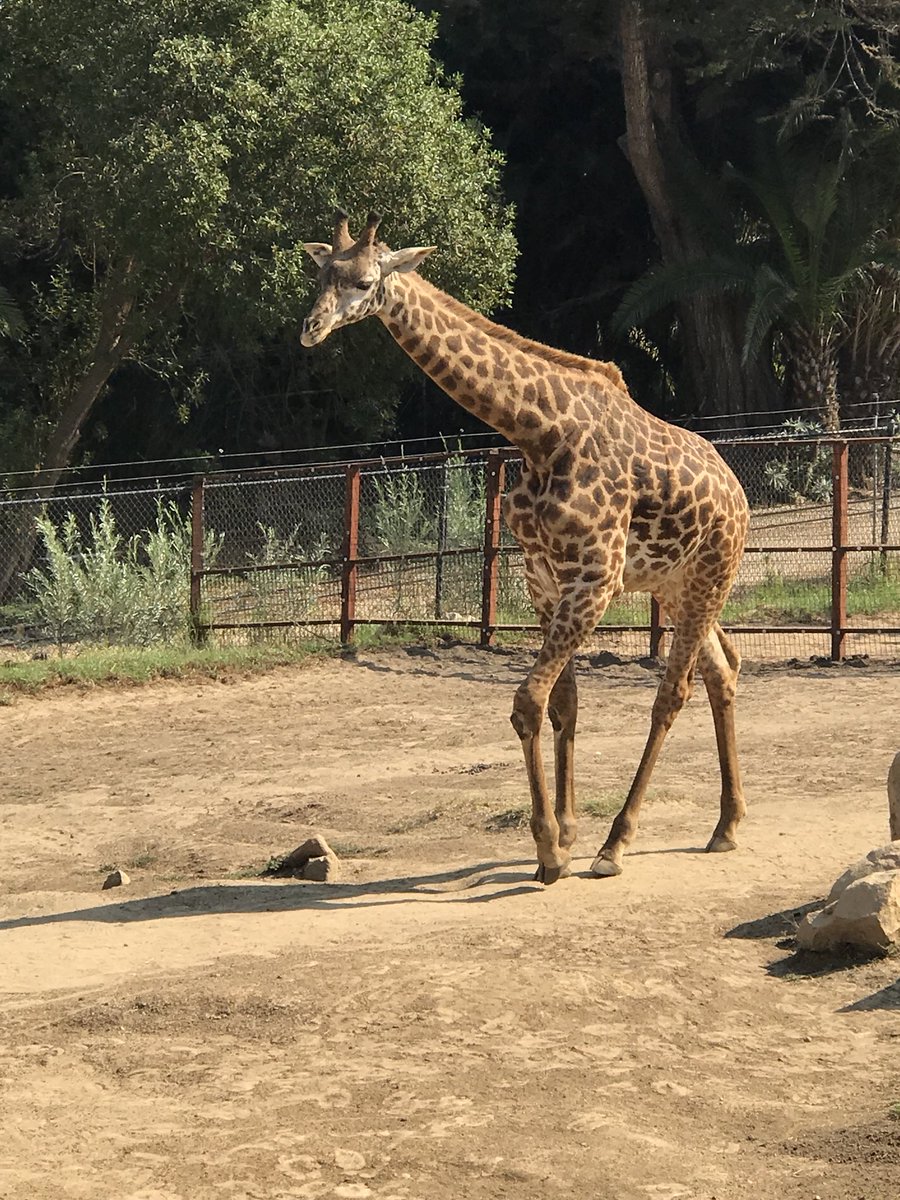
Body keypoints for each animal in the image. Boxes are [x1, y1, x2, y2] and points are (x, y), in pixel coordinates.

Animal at [301, 210, 750, 883]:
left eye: (362, 280)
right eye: (319, 273)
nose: (311, 328)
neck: (538, 433)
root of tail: (739, 495)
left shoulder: (594, 579)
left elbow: (527, 702)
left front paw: (550, 850)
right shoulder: (544, 577)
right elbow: (563, 702)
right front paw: (563, 831)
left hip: (708, 578)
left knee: (672, 694)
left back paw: (617, 845)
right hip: (674, 585)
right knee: (723, 672)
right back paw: (726, 825)